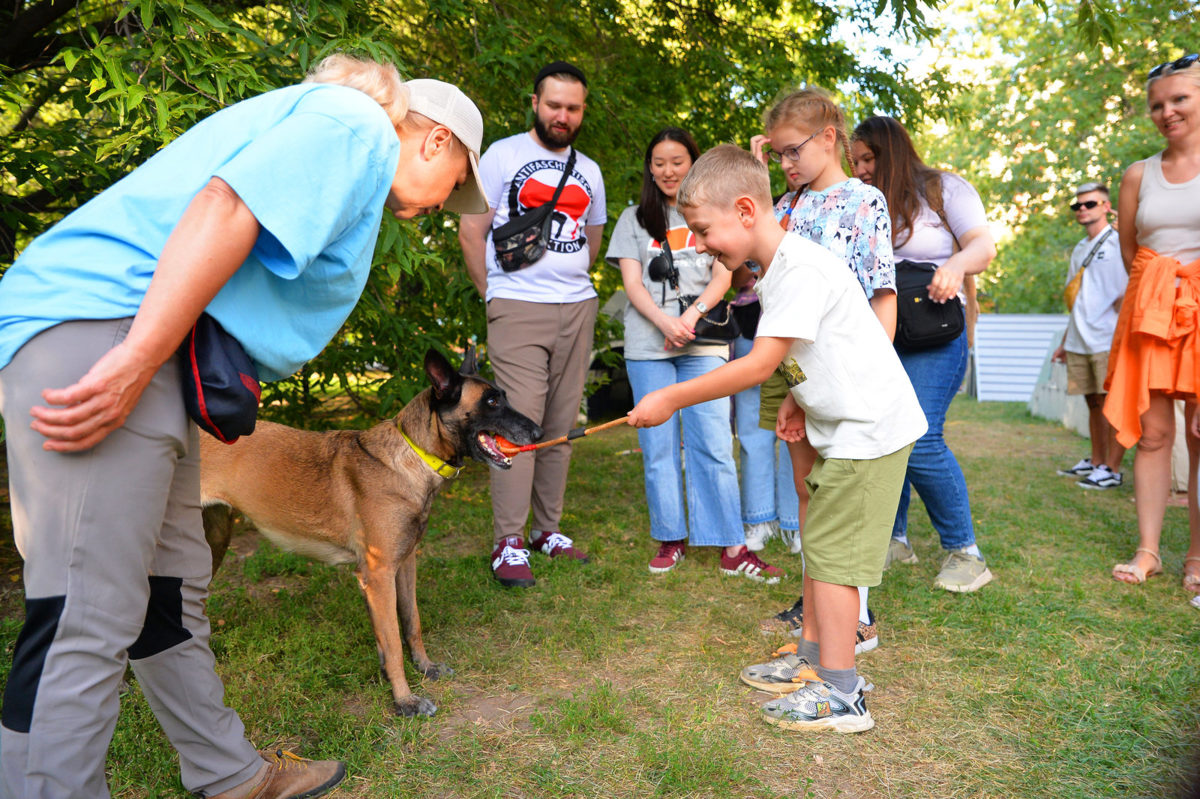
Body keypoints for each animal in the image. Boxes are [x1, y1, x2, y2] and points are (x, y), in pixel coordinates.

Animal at [200, 347, 540, 715]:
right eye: (491, 402)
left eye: (502, 396)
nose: (538, 433)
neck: (412, 457)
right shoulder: (379, 574)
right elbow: (393, 642)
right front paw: (405, 700)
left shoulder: (403, 565)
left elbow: (410, 623)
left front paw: (424, 667)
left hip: (214, 543)